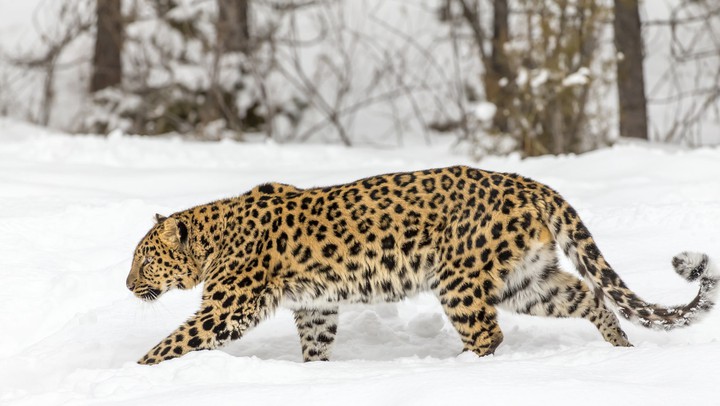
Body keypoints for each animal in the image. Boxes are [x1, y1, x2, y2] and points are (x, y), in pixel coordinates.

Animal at [125, 166, 719, 365]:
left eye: (144, 258)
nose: (127, 285)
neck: (213, 238)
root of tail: (531, 183)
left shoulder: (227, 307)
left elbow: (174, 341)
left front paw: (136, 373)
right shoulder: (315, 306)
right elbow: (315, 347)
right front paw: (313, 376)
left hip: (458, 280)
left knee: (487, 335)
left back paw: (451, 370)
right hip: (527, 281)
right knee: (590, 295)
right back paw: (623, 351)